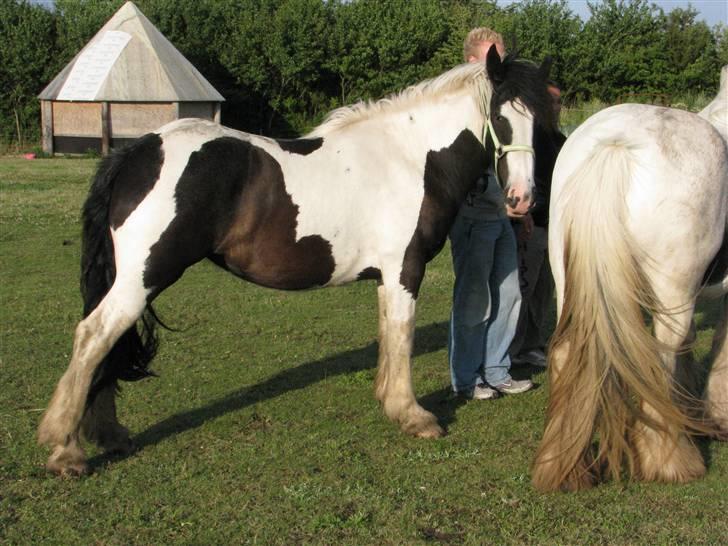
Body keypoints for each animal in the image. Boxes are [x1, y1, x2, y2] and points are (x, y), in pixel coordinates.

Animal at [38, 49, 552, 474]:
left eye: (540, 122)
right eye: (501, 116)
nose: (522, 199)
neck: (412, 158)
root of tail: (135, 152)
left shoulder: (387, 276)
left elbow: (389, 336)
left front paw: (390, 402)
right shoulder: (405, 270)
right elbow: (402, 336)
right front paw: (414, 417)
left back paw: (109, 436)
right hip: (143, 277)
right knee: (93, 336)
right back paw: (66, 451)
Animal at [532, 92, 724, 488]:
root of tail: (616, 145)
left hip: (570, 284)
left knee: (567, 351)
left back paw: (564, 467)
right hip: (672, 291)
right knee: (662, 355)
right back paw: (670, 462)